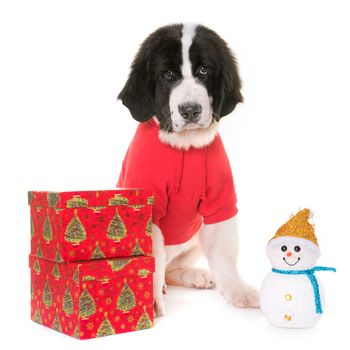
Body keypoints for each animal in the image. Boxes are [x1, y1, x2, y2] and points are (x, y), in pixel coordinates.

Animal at [116, 23, 258, 316]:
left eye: (204, 70)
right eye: (168, 74)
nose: (190, 110)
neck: (185, 148)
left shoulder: (220, 204)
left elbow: (224, 253)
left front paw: (237, 289)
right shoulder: (148, 208)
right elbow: (152, 259)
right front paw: (151, 301)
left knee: (172, 268)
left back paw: (194, 275)